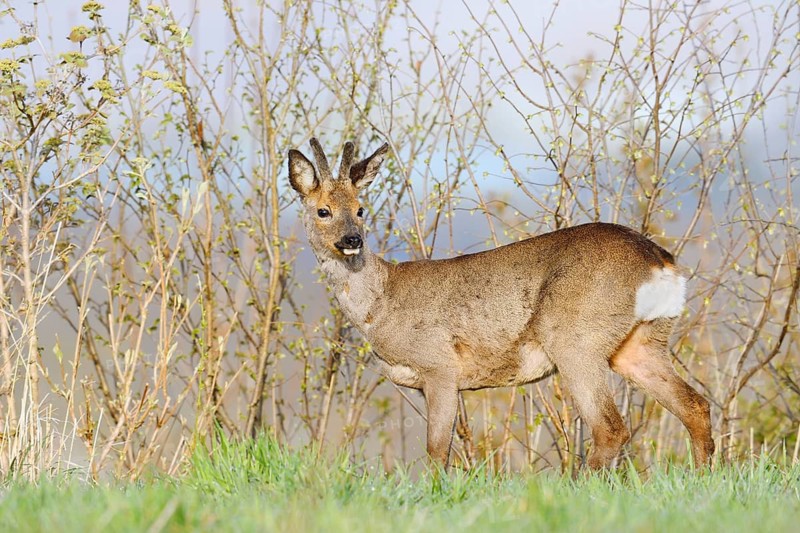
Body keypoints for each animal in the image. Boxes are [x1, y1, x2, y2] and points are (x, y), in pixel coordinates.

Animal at [287, 137, 715, 470]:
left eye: (360, 209)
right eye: (323, 210)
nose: (352, 240)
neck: (381, 303)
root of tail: (660, 260)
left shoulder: (439, 365)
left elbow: (437, 450)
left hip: (576, 337)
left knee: (611, 427)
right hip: (639, 342)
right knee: (696, 405)